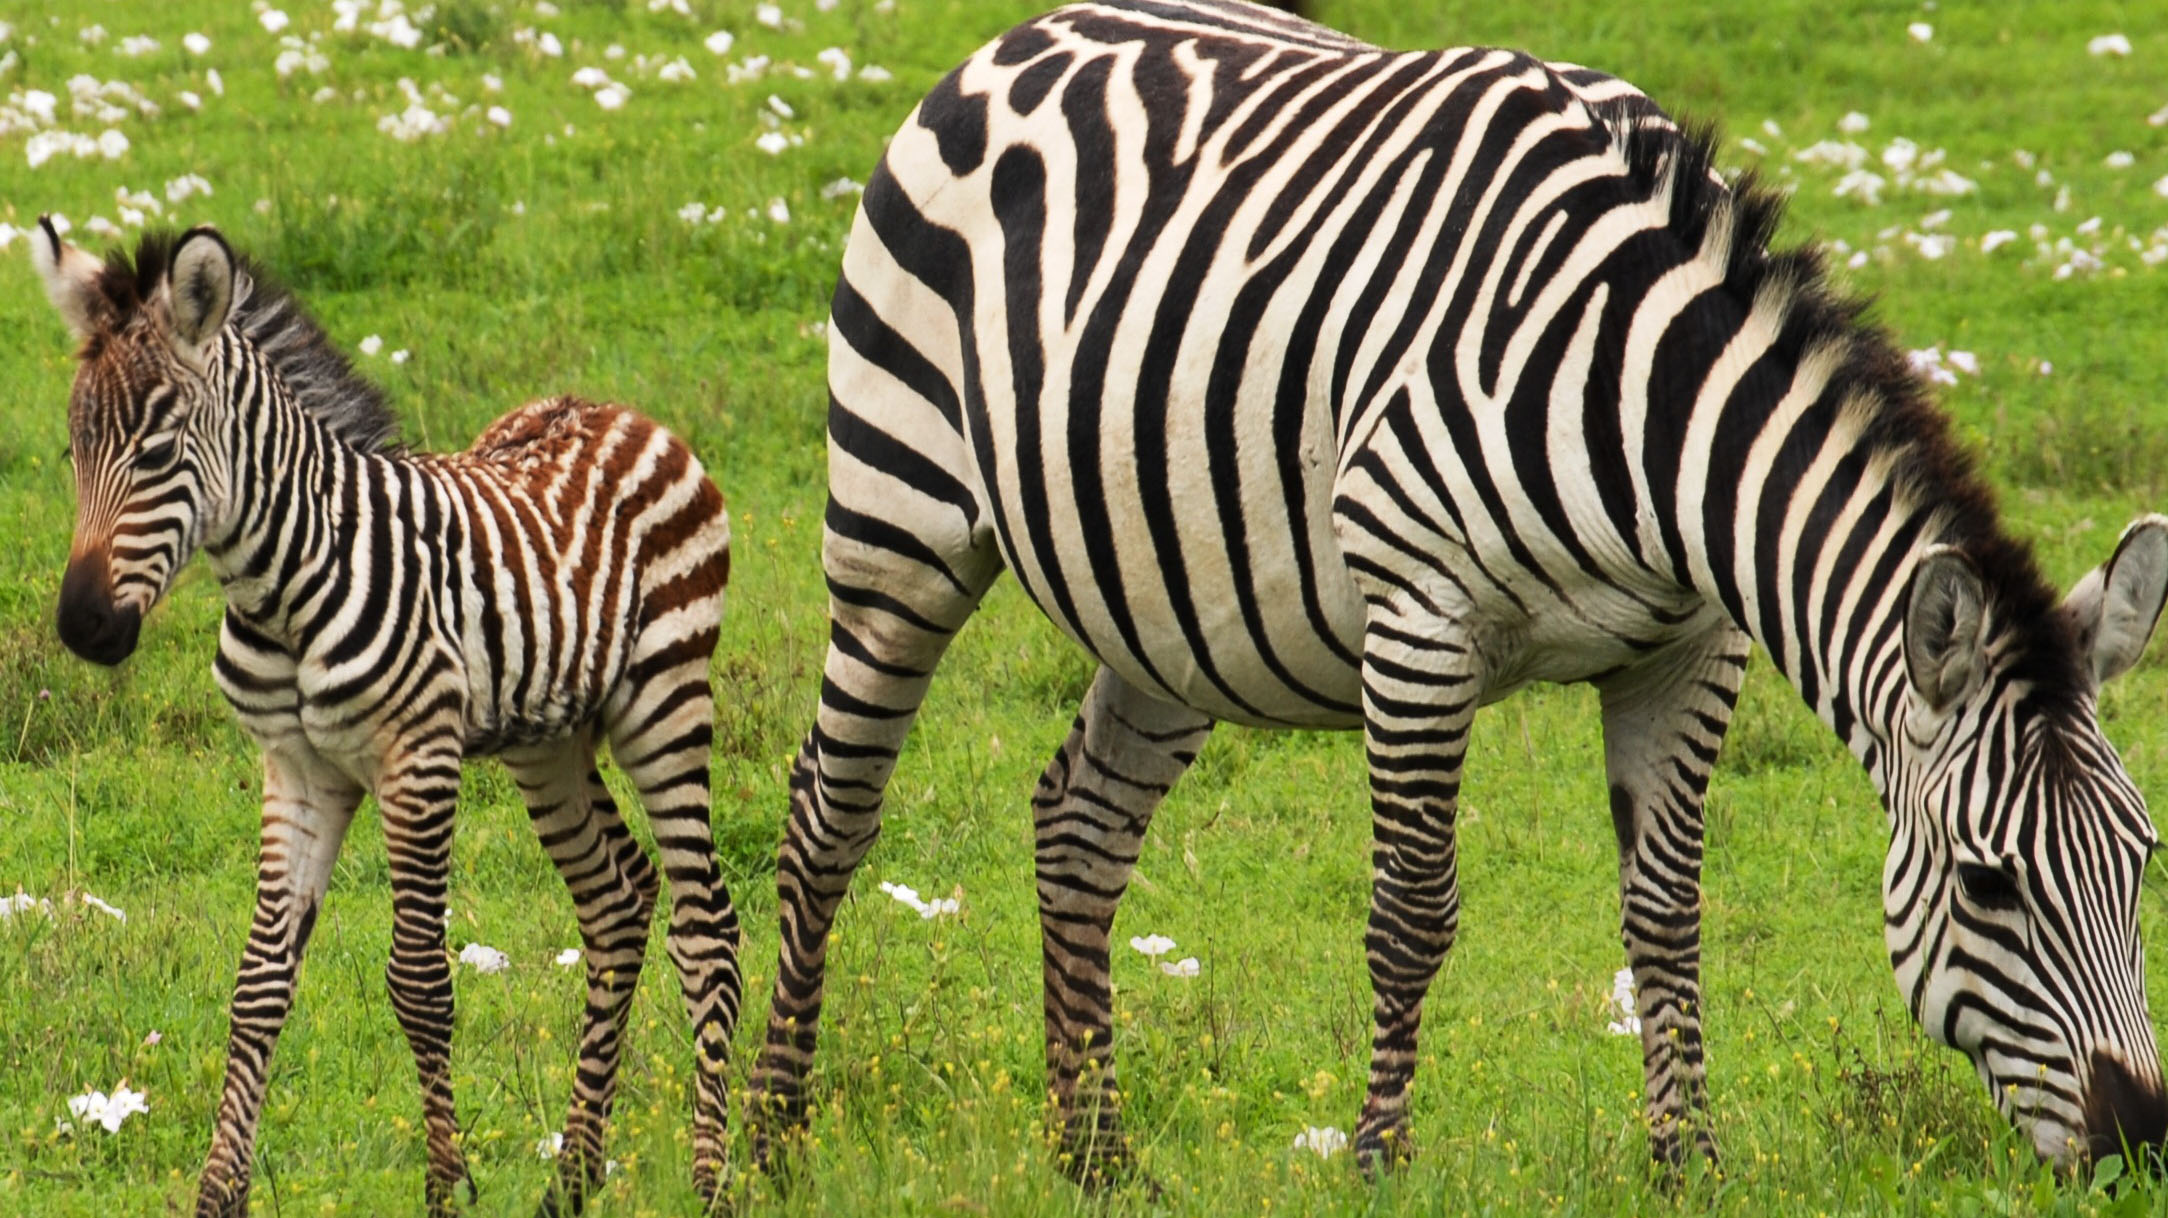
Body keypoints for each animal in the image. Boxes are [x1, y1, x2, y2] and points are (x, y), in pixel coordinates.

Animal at [31, 219, 745, 1213]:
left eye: (160, 454)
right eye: (74, 452)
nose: (84, 628)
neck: (284, 587)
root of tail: (623, 413)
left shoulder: (418, 758)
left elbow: (420, 984)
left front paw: (448, 1185)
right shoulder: (296, 770)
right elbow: (259, 986)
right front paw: (220, 1193)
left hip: (666, 699)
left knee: (706, 926)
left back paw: (710, 1177)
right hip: (550, 741)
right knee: (616, 899)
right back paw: (571, 1177)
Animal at [754, 0, 2168, 1178]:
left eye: (2140, 860)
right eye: (1987, 886)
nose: (2139, 1143)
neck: (1643, 404)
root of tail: (1018, 34)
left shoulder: (1688, 649)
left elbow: (1665, 915)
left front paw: (1687, 1166)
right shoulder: (1421, 621)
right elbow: (1410, 912)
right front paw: (1379, 1158)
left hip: (1169, 605)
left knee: (1076, 828)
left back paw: (1093, 1156)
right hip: (898, 515)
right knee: (829, 811)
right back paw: (766, 1138)